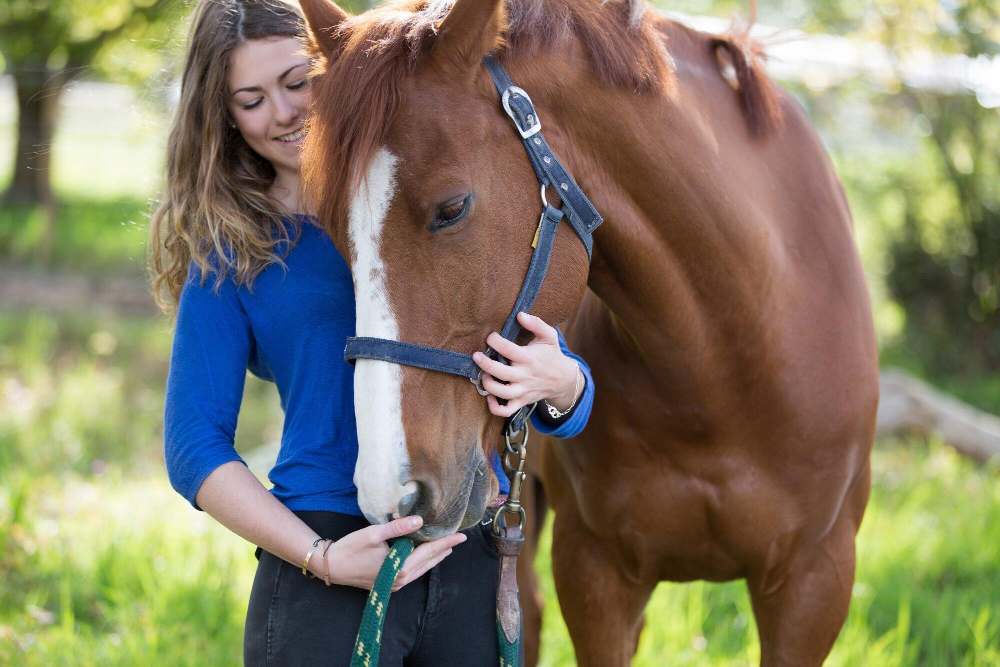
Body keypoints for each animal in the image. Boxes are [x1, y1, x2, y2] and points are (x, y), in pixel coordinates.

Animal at [299, 1, 879, 664]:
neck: (727, 364)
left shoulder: (815, 583)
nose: (390, 490)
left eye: (452, 208)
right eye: (333, 230)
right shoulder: (595, 574)